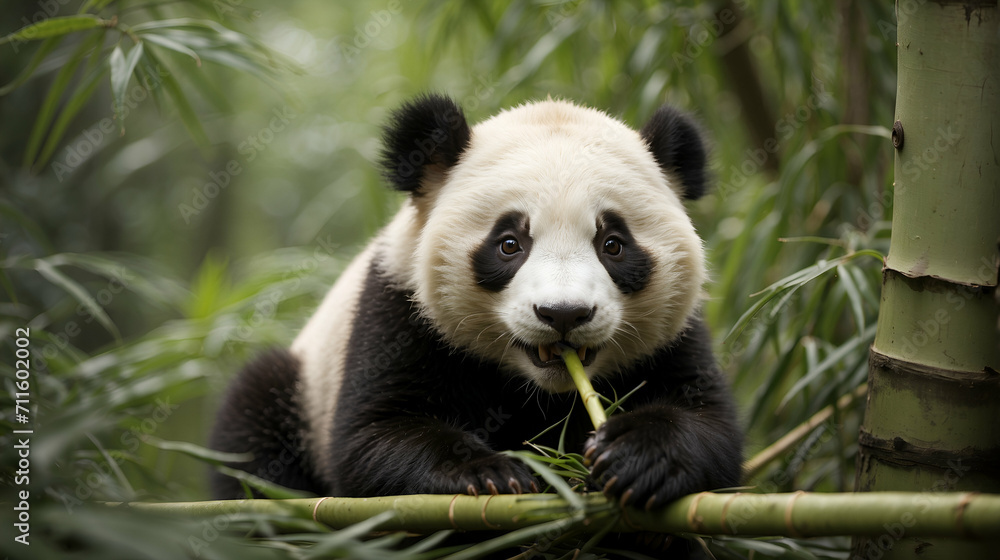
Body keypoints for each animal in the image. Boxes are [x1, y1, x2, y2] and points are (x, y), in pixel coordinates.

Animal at [209, 93, 744, 516]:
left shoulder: (677, 336)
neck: (542, 391)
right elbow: (371, 438)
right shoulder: (398, 310)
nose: (563, 314)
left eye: (613, 244)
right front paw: (490, 472)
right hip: (301, 390)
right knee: (254, 422)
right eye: (509, 244)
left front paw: (635, 455)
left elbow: (711, 428)